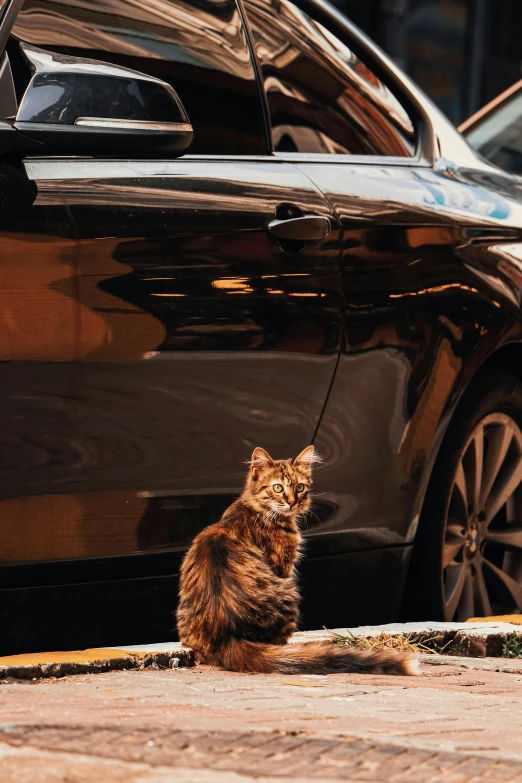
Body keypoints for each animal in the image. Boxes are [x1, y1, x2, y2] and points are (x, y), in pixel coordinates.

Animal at [177, 448, 416, 672]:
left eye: (300, 488)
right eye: (277, 488)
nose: (292, 502)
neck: (256, 508)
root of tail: (227, 637)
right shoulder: (283, 565)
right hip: (290, 591)